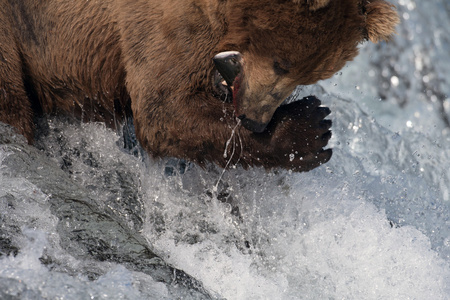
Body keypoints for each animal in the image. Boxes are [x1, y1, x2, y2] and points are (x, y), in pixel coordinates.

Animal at [0, 0, 398, 172]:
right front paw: (310, 129)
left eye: (310, 76)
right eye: (281, 62)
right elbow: (165, 109)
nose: (255, 119)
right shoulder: (166, 21)